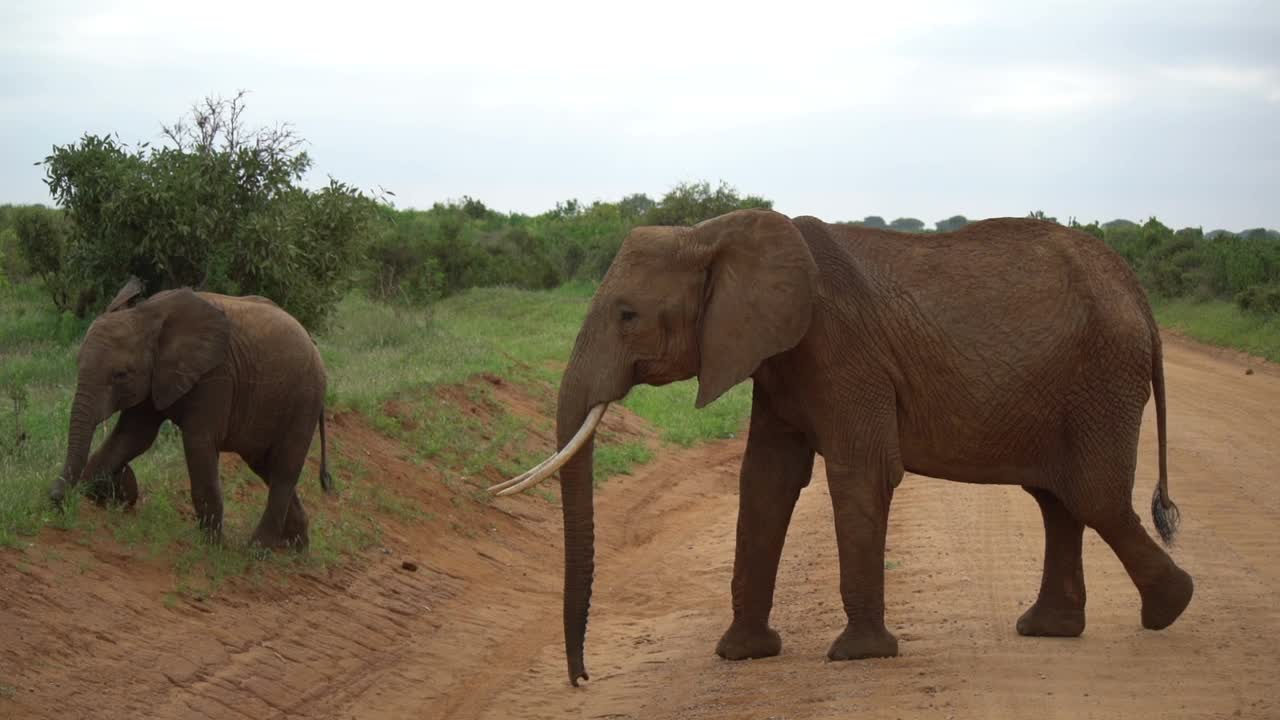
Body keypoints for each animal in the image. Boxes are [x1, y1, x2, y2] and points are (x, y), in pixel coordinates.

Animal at [50, 278, 335, 545]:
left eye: (121, 375)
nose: (55, 500)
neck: (148, 312)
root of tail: (314, 345)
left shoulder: (216, 375)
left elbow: (198, 443)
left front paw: (211, 546)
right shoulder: (157, 375)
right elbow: (133, 436)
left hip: (305, 400)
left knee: (284, 470)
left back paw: (258, 549)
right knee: (267, 466)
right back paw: (294, 546)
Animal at [494, 206, 1192, 681]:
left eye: (627, 315)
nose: (582, 678)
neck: (716, 233)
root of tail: (1139, 294)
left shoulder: (840, 350)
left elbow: (860, 474)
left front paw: (857, 656)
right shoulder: (777, 360)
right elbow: (765, 482)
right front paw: (742, 655)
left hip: (1102, 377)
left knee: (1093, 497)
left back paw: (1169, 609)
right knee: (1058, 500)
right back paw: (1049, 630)